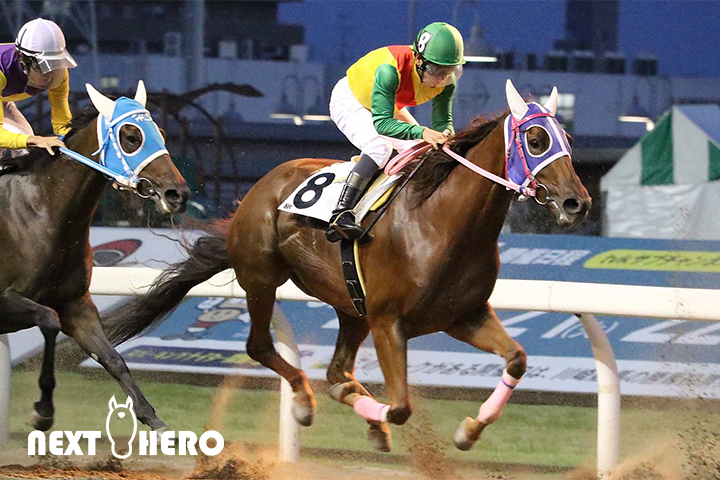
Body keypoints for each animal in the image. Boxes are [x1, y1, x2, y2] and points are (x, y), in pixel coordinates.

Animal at [0, 81, 189, 433]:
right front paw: (43, 411)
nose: (178, 194)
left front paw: (153, 420)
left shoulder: (77, 304)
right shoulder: (5, 300)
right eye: (132, 137)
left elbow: (113, 358)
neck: (42, 211)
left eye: (160, 132)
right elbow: (48, 320)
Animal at [105, 80, 591, 451]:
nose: (577, 203)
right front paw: (381, 419)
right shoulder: (389, 321)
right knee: (261, 347)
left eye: (567, 141)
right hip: (262, 278)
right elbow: (401, 407)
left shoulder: (463, 315)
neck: (440, 221)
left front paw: (468, 430)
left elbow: (517, 360)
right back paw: (303, 402)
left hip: (350, 305)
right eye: (536, 140)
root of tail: (260, 188)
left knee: (338, 371)